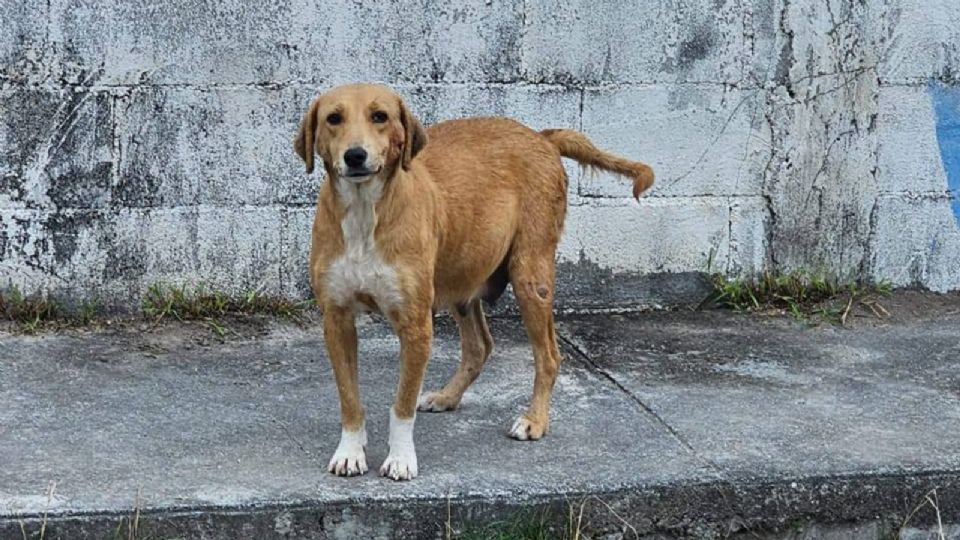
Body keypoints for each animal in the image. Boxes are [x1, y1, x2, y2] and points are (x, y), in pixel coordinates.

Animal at [292, 84, 652, 480]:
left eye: (379, 116)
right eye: (333, 118)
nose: (355, 156)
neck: (363, 212)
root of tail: (541, 136)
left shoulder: (415, 325)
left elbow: (402, 404)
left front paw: (401, 458)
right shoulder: (337, 319)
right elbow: (349, 398)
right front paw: (351, 451)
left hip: (531, 277)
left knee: (549, 356)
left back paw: (534, 420)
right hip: (463, 283)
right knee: (480, 347)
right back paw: (448, 397)